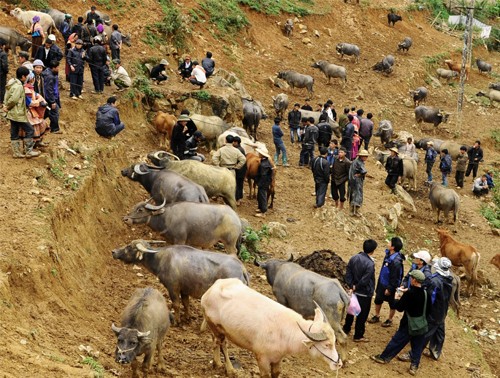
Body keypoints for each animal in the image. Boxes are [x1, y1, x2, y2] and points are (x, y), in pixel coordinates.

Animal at [111, 241, 248, 324]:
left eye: (129, 247)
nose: (114, 252)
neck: (161, 259)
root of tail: (242, 269)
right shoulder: (185, 290)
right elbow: (186, 304)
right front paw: (187, 317)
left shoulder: (172, 288)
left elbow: (176, 304)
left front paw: (176, 321)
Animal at [201, 278, 342, 378]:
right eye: (327, 345)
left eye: (335, 342)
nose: (338, 364)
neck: (284, 332)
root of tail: (210, 290)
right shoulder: (262, 358)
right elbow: (266, 375)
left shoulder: (277, 358)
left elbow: (276, 374)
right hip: (216, 326)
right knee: (222, 344)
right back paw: (230, 370)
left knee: (215, 341)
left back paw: (217, 363)